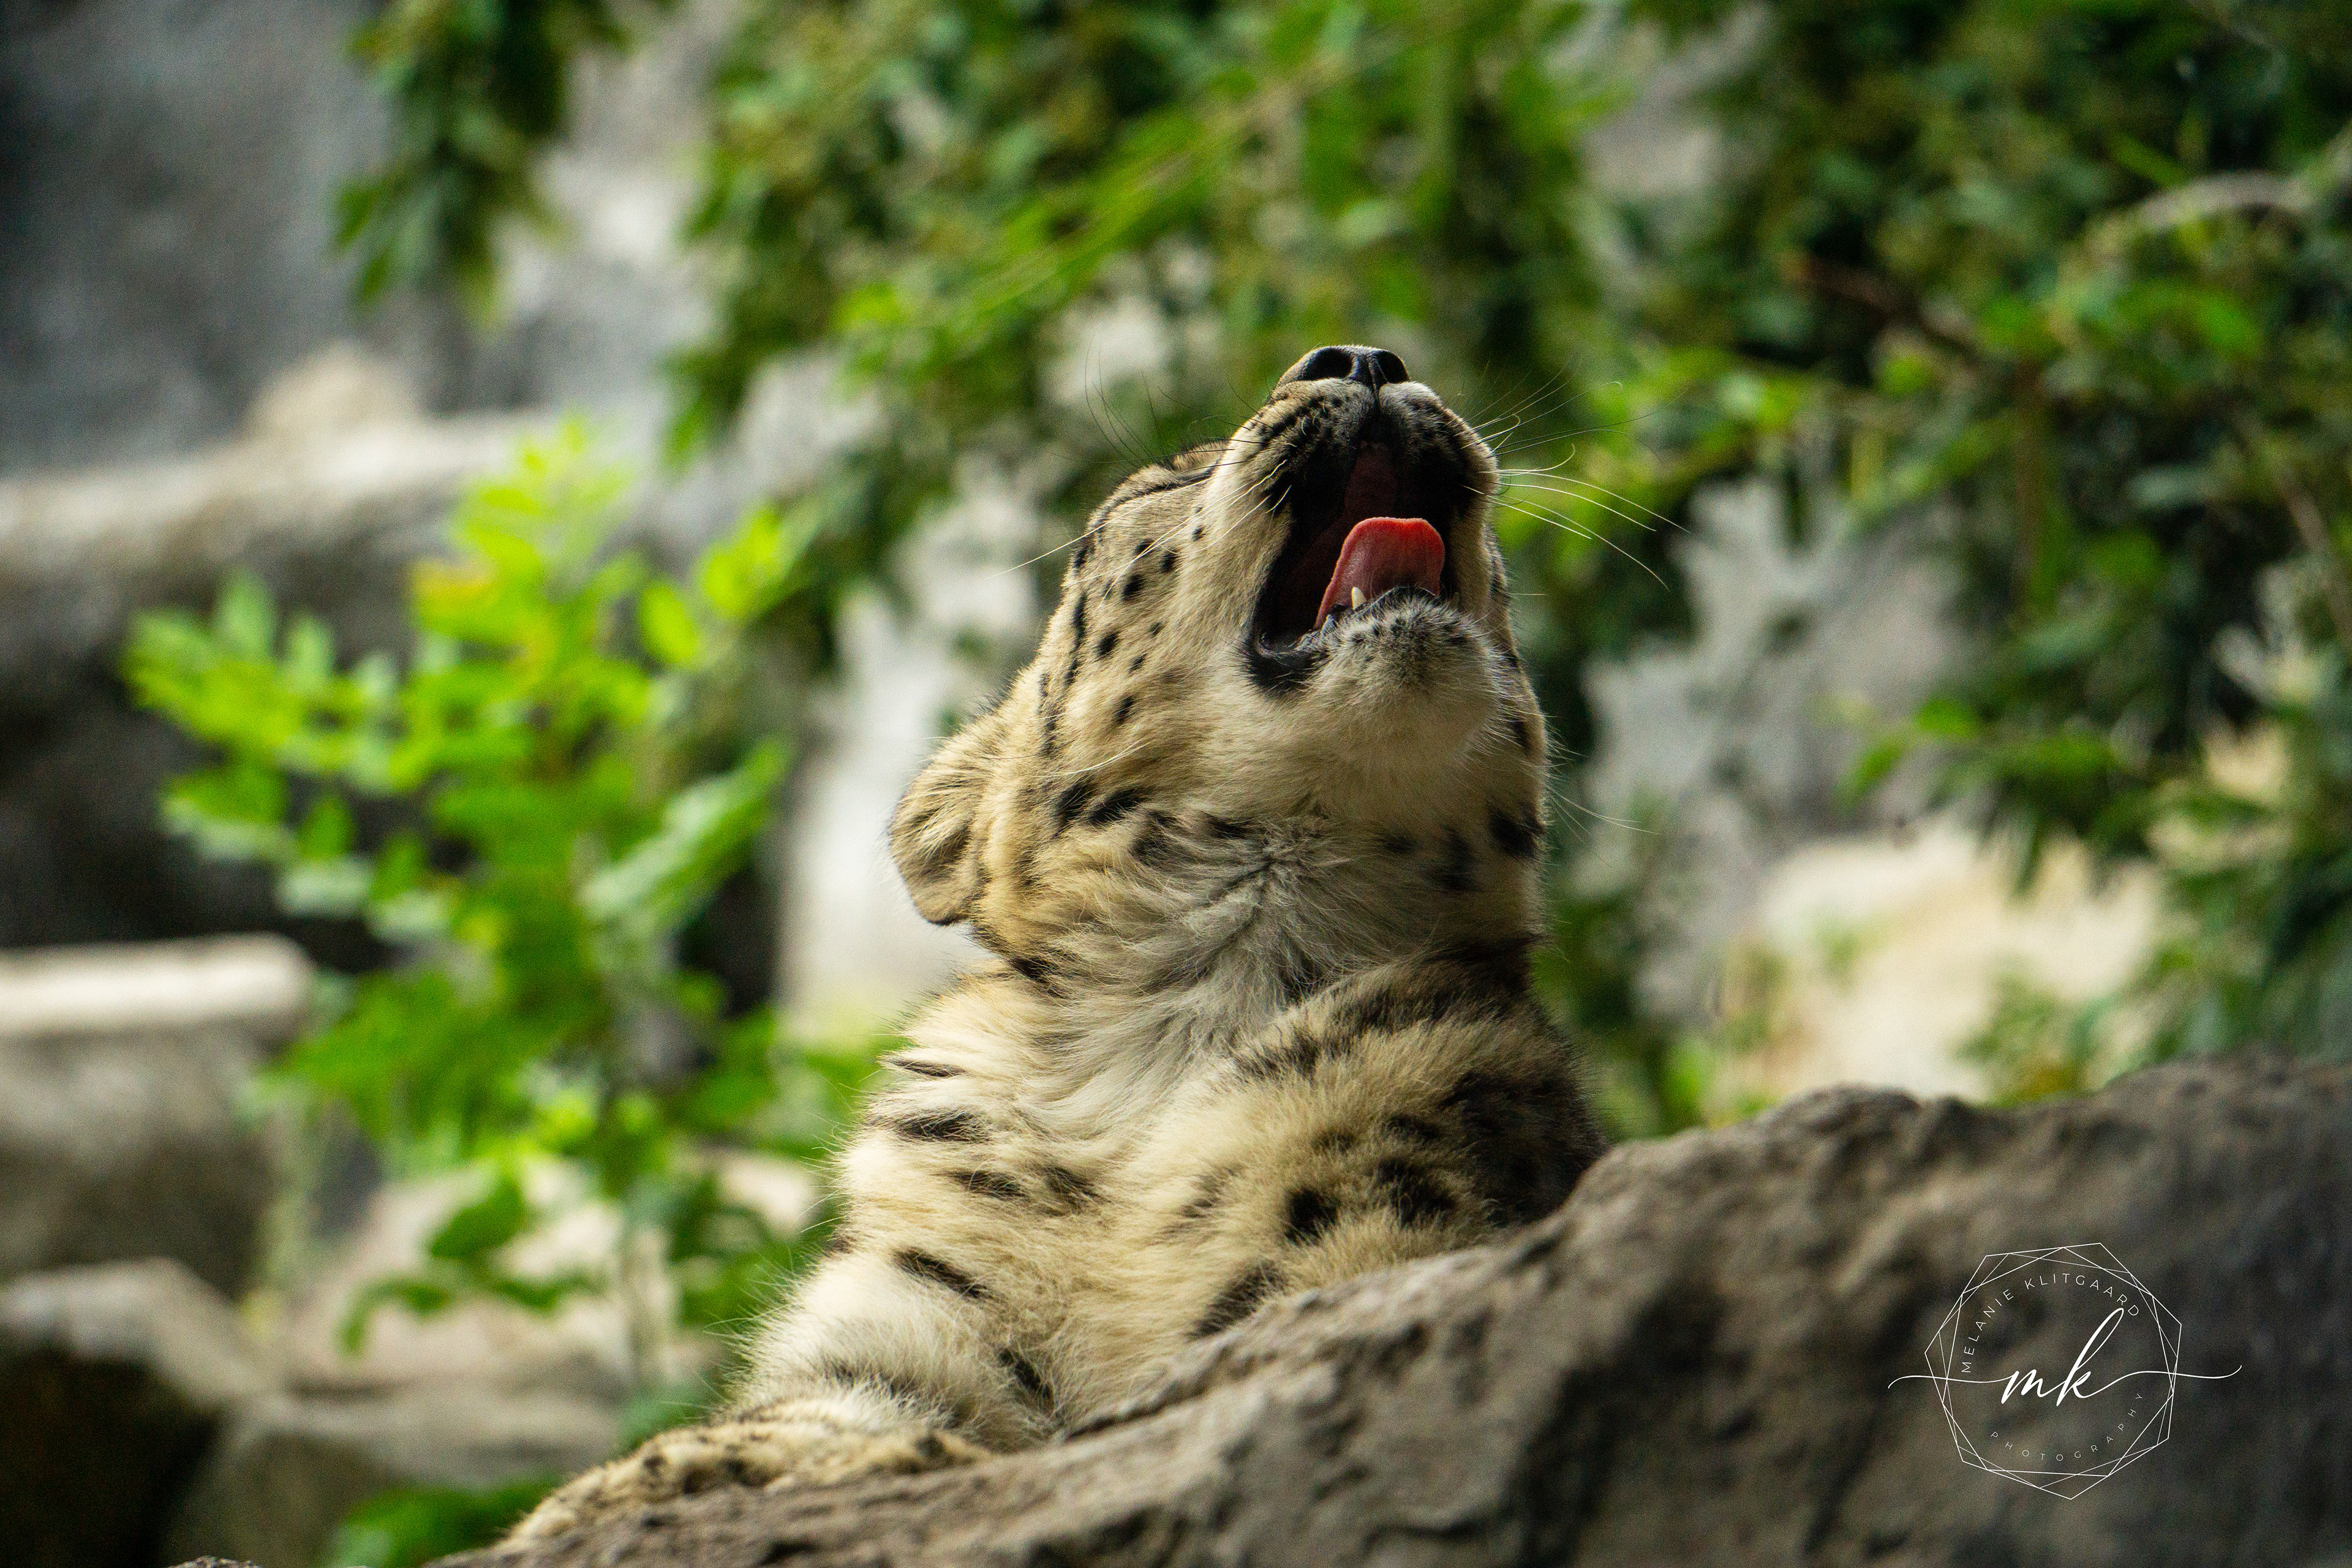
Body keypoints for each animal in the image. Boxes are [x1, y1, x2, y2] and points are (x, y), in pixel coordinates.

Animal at [512, 344, 1608, 1540]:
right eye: (1166, 482)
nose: (1364, 355)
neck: (1160, 1049)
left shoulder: (1386, 1233)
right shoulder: (911, 1303)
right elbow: (813, 1412)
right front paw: (619, 1489)